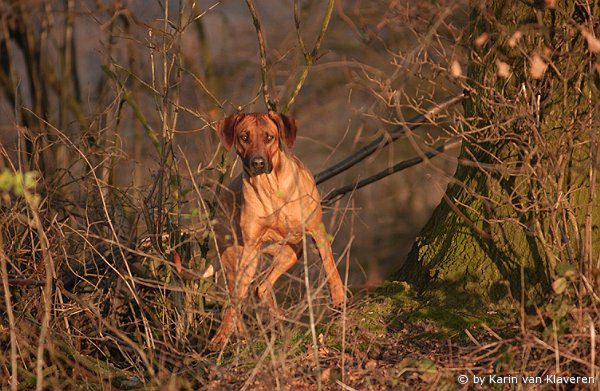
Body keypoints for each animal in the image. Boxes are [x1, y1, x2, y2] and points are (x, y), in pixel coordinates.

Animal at [209, 112, 344, 350]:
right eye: (244, 137)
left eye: (269, 137)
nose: (258, 163)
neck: (270, 187)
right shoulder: (251, 246)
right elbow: (235, 301)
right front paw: (221, 336)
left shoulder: (316, 228)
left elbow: (330, 267)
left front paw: (339, 300)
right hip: (237, 257)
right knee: (238, 295)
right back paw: (240, 335)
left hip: (291, 252)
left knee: (260, 287)